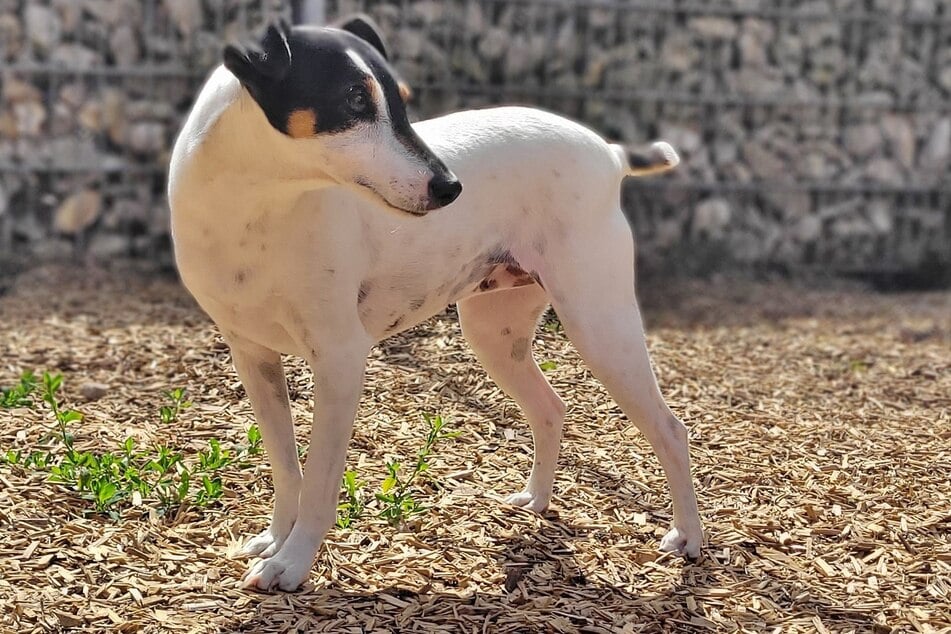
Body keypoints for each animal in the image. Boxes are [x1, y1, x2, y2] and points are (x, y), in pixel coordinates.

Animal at [169, 16, 708, 588]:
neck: (257, 209)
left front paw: (292, 563)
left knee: (671, 430)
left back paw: (688, 538)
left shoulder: (340, 361)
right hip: (495, 335)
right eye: (354, 100)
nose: (451, 187)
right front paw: (275, 540)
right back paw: (536, 500)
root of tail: (609, 152)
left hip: (600, 325)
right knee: (551, 408)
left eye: (403, 102)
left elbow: (317, 481)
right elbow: (286, 466)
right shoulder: (253, 358)